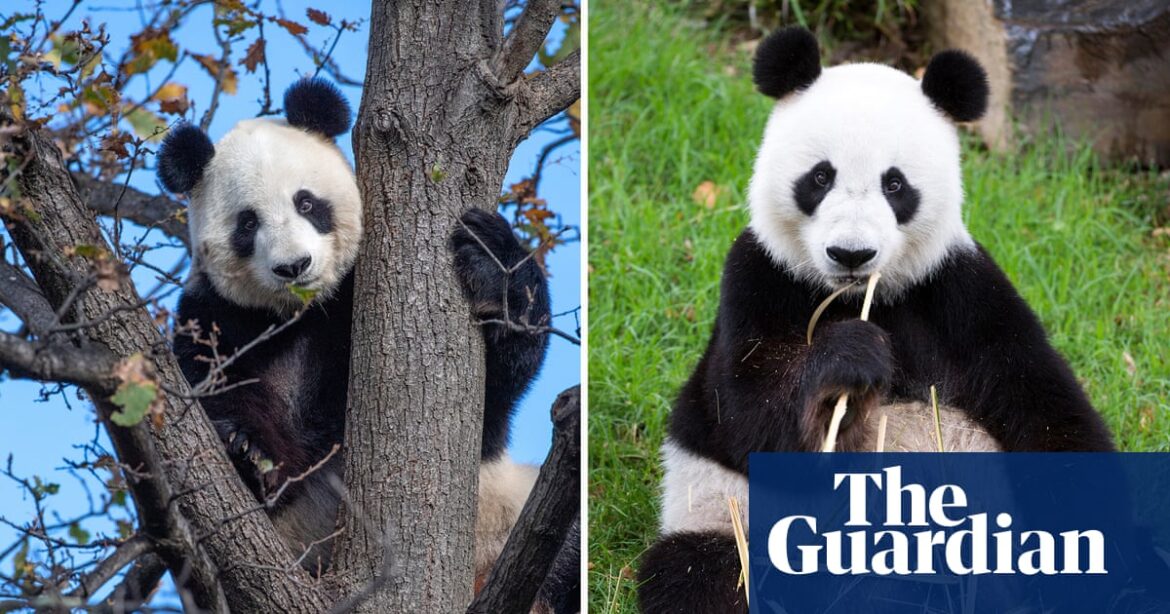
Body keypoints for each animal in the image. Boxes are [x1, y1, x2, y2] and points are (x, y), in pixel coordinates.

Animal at [155, 76, 575, 608]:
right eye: (247, 223)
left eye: (306, 203)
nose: (294, 266)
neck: (301, 313)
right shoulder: (212, 319)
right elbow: (213, 404)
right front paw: (246, 449)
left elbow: (491, 406)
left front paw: (489, 257)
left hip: (502, 518)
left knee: (566, 550)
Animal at [636, 26, 1109, 608]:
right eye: (820, 178)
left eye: (895, 185)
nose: (851, 254)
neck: (861, 296)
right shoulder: (759, 277)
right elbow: (745, 412)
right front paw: (849, 360)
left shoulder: (959, 291)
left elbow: (1042, 403)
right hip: (725, 517)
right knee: (697, 573)